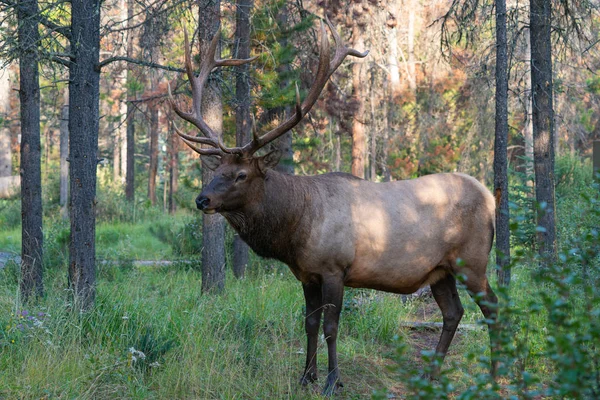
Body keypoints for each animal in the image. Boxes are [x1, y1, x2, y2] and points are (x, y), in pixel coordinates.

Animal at [169, 18, 496, 396]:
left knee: (493, 308)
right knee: (453, 312)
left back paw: (494, 373)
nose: (202, 199)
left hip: (473, 261)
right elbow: (309, 324)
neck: (295, 227)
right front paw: (306, 376)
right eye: (215, 169)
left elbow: (331, 327)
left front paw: (331, 381)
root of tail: (491, 197)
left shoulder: (334, 268)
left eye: (240, 174)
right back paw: (431, 375)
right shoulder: (306, 274)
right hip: (440, 270)